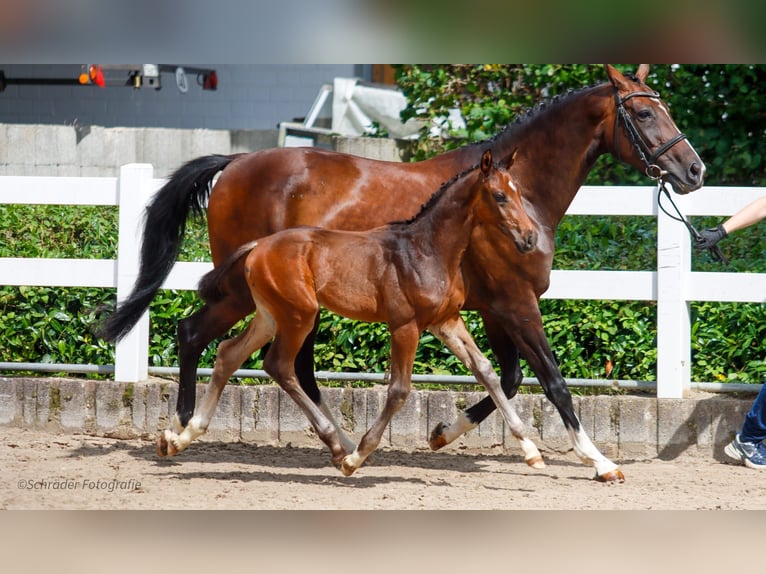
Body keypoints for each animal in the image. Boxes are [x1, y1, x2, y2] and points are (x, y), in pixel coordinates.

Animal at [160, 149, 543, 476]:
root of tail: (259, 245)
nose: (529, 238)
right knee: (279, 365)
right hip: (300, 315)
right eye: (499, 196)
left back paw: (181, 437)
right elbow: (399, 390)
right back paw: (336, 445)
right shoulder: (405, 326)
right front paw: (357, 457)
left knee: (229, 353)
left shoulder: (445, 321)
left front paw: (531, 451)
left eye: (520, 193)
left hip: (269, 314)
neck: (426, 249)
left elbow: (486, 371)